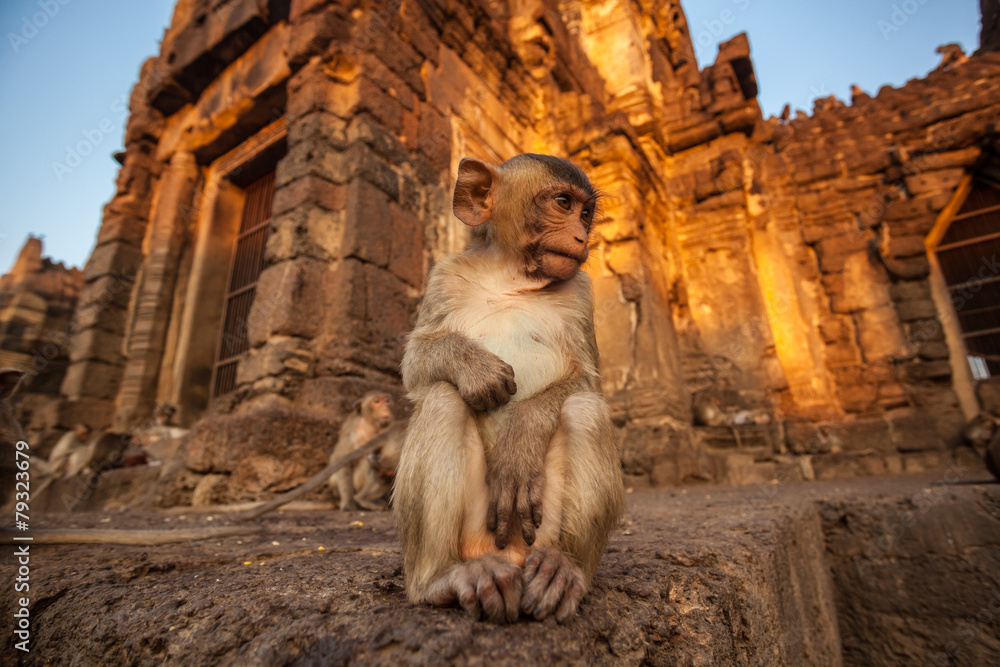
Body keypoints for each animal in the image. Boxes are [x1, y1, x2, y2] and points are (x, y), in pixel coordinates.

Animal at [394, 154, 625, 624]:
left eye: (586, 214)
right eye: (562, 203)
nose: (580, 235)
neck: (509, 276)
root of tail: (512, 555)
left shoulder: (581, 291)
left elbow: (587, 379)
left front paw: (520, 439)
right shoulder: (443, 276)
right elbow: (417, 364)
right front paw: (475, 368)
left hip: (538, 524)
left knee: (585, 408)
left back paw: (562, 568)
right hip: (476, 527)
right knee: (443, 399)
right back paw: (443, 578)